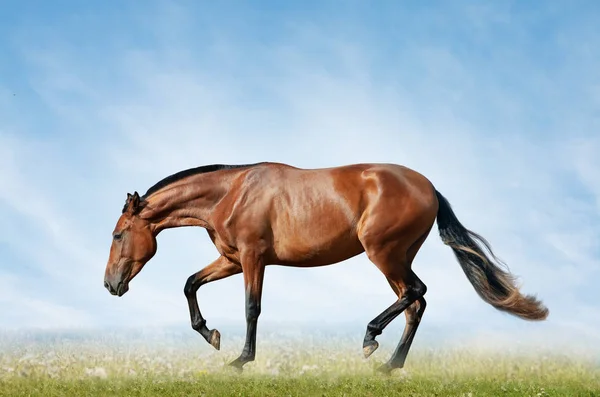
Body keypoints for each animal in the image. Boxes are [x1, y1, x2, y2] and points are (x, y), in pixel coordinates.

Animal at [102, 161, 548, 372]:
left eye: (118, 234)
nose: (110, 285)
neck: (231, 194)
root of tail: (430, 189)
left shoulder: (252, 258)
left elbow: (252, 308)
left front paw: (241, 360)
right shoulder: (231, 259)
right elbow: (190, 283)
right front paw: (211, 335)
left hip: (384, 253)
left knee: (416, 293)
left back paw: (371, 340)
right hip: (396, 257)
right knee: (415, 304)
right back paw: (391, 366)